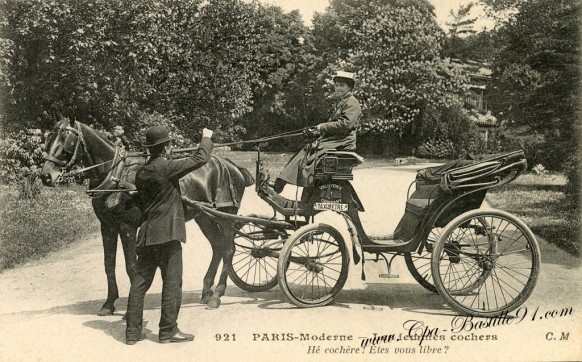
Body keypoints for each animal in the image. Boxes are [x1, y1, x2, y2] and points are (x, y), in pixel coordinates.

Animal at [41, 119, 256, 314]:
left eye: (66, 140)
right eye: (49, 138)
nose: (46, 176)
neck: (115, 175)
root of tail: (231, 166)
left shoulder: (127, 227)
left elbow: (131, 266)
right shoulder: (107, 227)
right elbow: (108, 265)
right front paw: (109, 304)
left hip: (226, 215)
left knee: (228, 249)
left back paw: (217, 295)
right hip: (204, 216)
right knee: (218, 247)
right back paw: (206, 292)